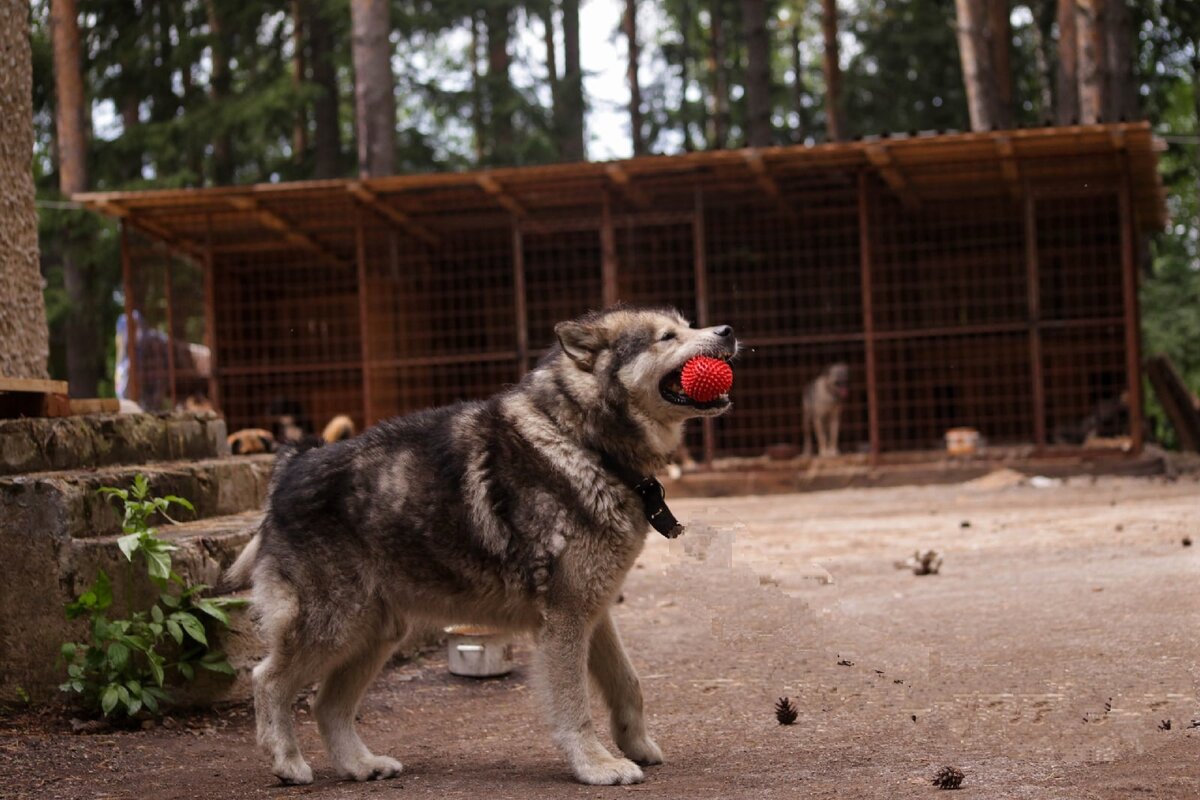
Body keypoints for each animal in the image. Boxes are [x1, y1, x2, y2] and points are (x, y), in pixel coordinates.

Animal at [223, 307, 729, 786]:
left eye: (687, 324)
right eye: (668, 337)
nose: (727, 331)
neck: (584, 444)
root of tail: (291, 463)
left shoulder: (594, 610)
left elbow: (629, 683)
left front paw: (636, 745)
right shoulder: (564, 618)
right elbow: (575, 707)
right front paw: (597, 767)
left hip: (374, 633)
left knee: (327, 705)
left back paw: (361, 766)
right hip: (335, 628)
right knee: (268, 681)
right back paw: (288, 763)